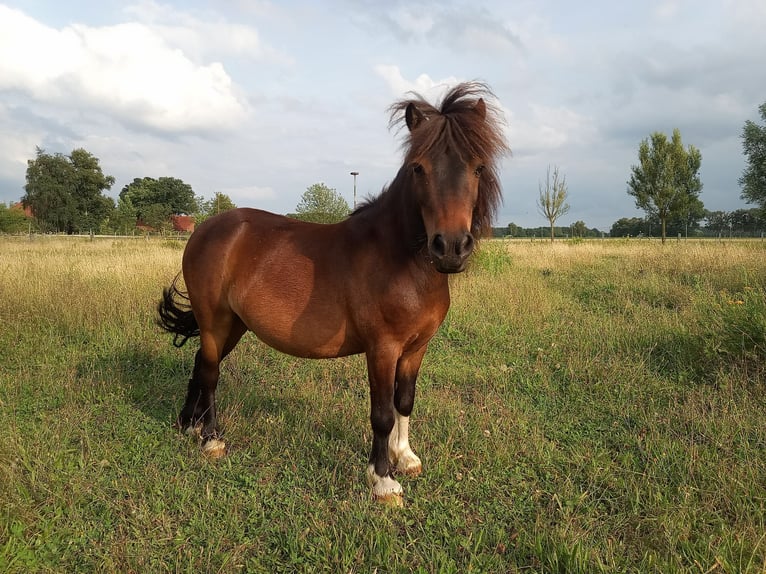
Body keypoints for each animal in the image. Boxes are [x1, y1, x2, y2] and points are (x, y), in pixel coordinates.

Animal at [157, 81, 510, 504]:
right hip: (214, 320)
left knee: (200, 363)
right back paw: (211, 440)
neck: (400, 259)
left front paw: (406, 457)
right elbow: (382, 412)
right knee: (210, 372)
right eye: (418, 168)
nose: (452, 248)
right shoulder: (382, 348)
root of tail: (205, 229)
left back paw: (189, 426)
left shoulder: (416, 348)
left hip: (234, 325)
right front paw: (383, 480)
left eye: (478, 167)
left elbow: (405, 400)